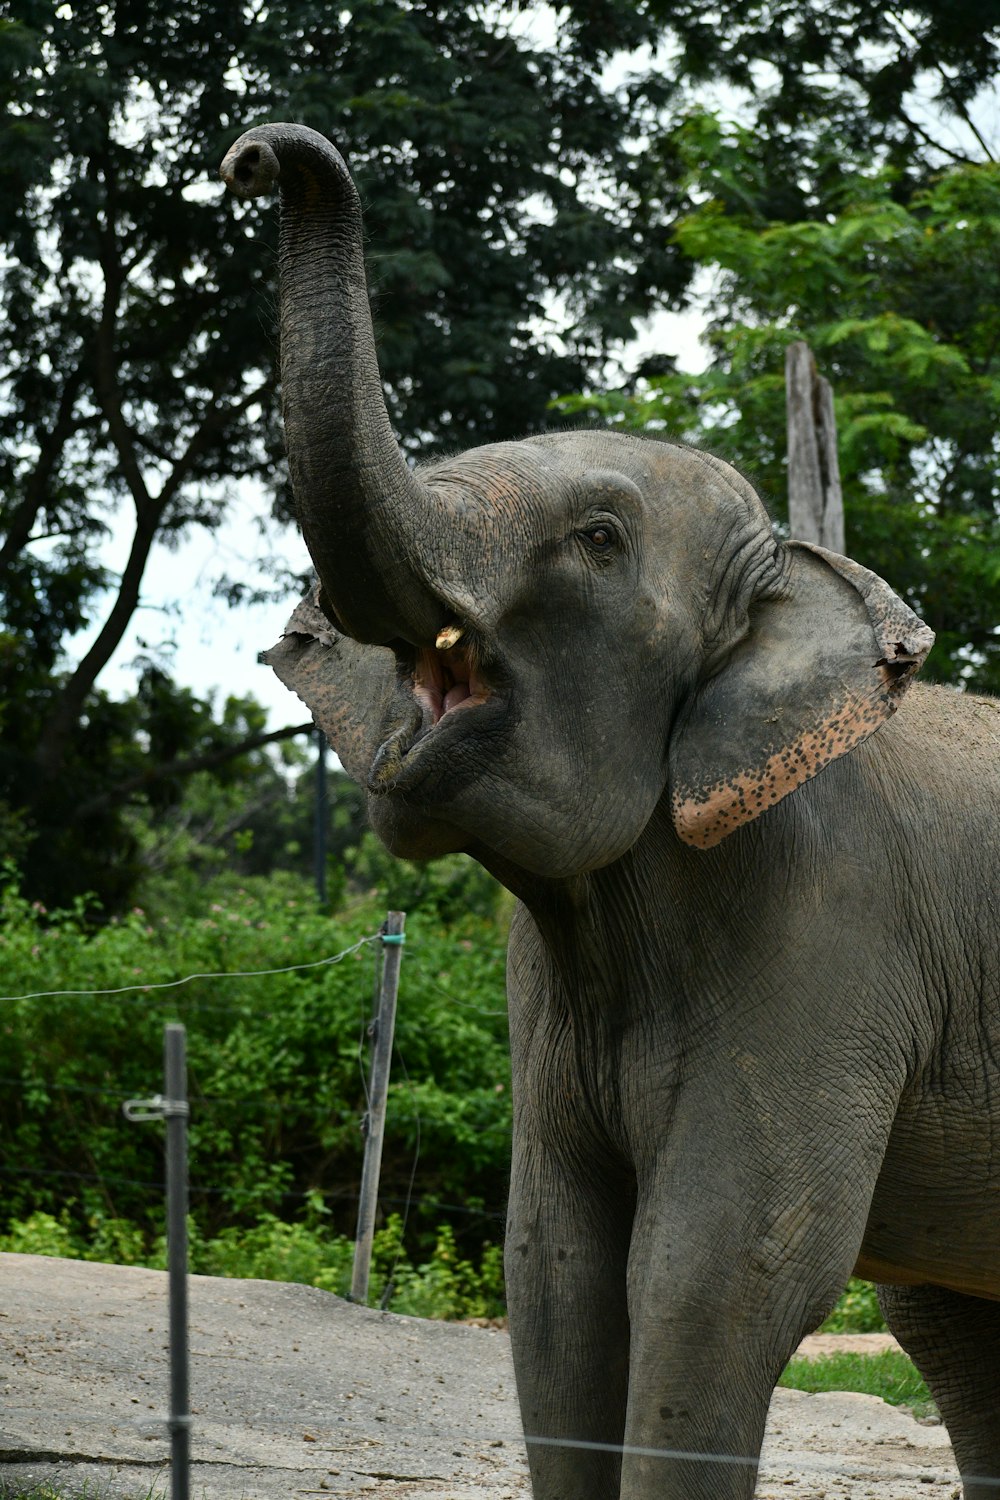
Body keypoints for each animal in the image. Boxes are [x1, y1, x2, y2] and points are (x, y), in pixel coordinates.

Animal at [223, 123, 1000, 1494]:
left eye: (595, 539)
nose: (253, 152)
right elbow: (557, 1274)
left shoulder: (829, 935)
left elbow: (716, 1270)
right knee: (952, 1328)